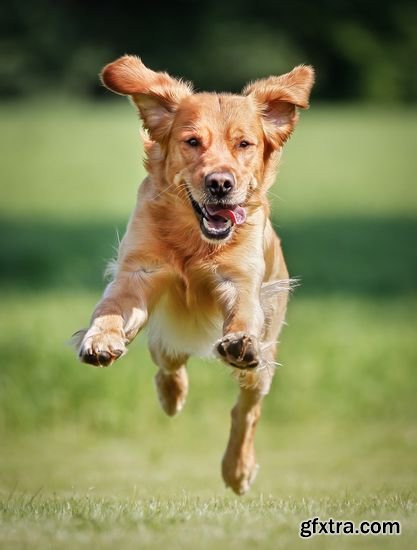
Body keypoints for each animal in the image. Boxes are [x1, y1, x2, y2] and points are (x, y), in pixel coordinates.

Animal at [75, 55, 314, 496]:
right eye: (191, 142)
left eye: (244, 144)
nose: (220, 184)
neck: (195, 242)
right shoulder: (138, 273)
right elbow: (111, 309)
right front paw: (100, 339)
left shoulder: (241, 282)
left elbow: (242, 316)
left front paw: (238, 341)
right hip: (166, 337)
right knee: (169, 362)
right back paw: (171, 396)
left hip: (264, 361)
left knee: (247, 411)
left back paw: (237, 469)